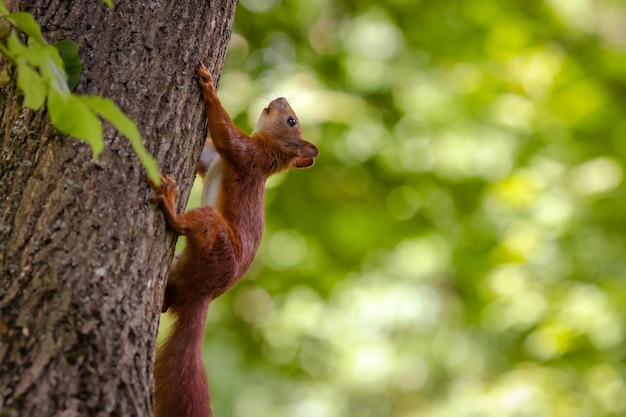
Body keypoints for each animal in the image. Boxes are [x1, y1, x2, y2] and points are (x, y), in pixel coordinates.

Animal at [150, 62, 316, 417]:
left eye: (291, 121)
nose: (281, 97)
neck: (269, 152)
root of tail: (201, 294)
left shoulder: (246, 155)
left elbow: (225, 133)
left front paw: (210, 88)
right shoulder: (215, 160)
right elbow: (207, 154)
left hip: (216, 239)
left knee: (188, 226)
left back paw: (170, 204)